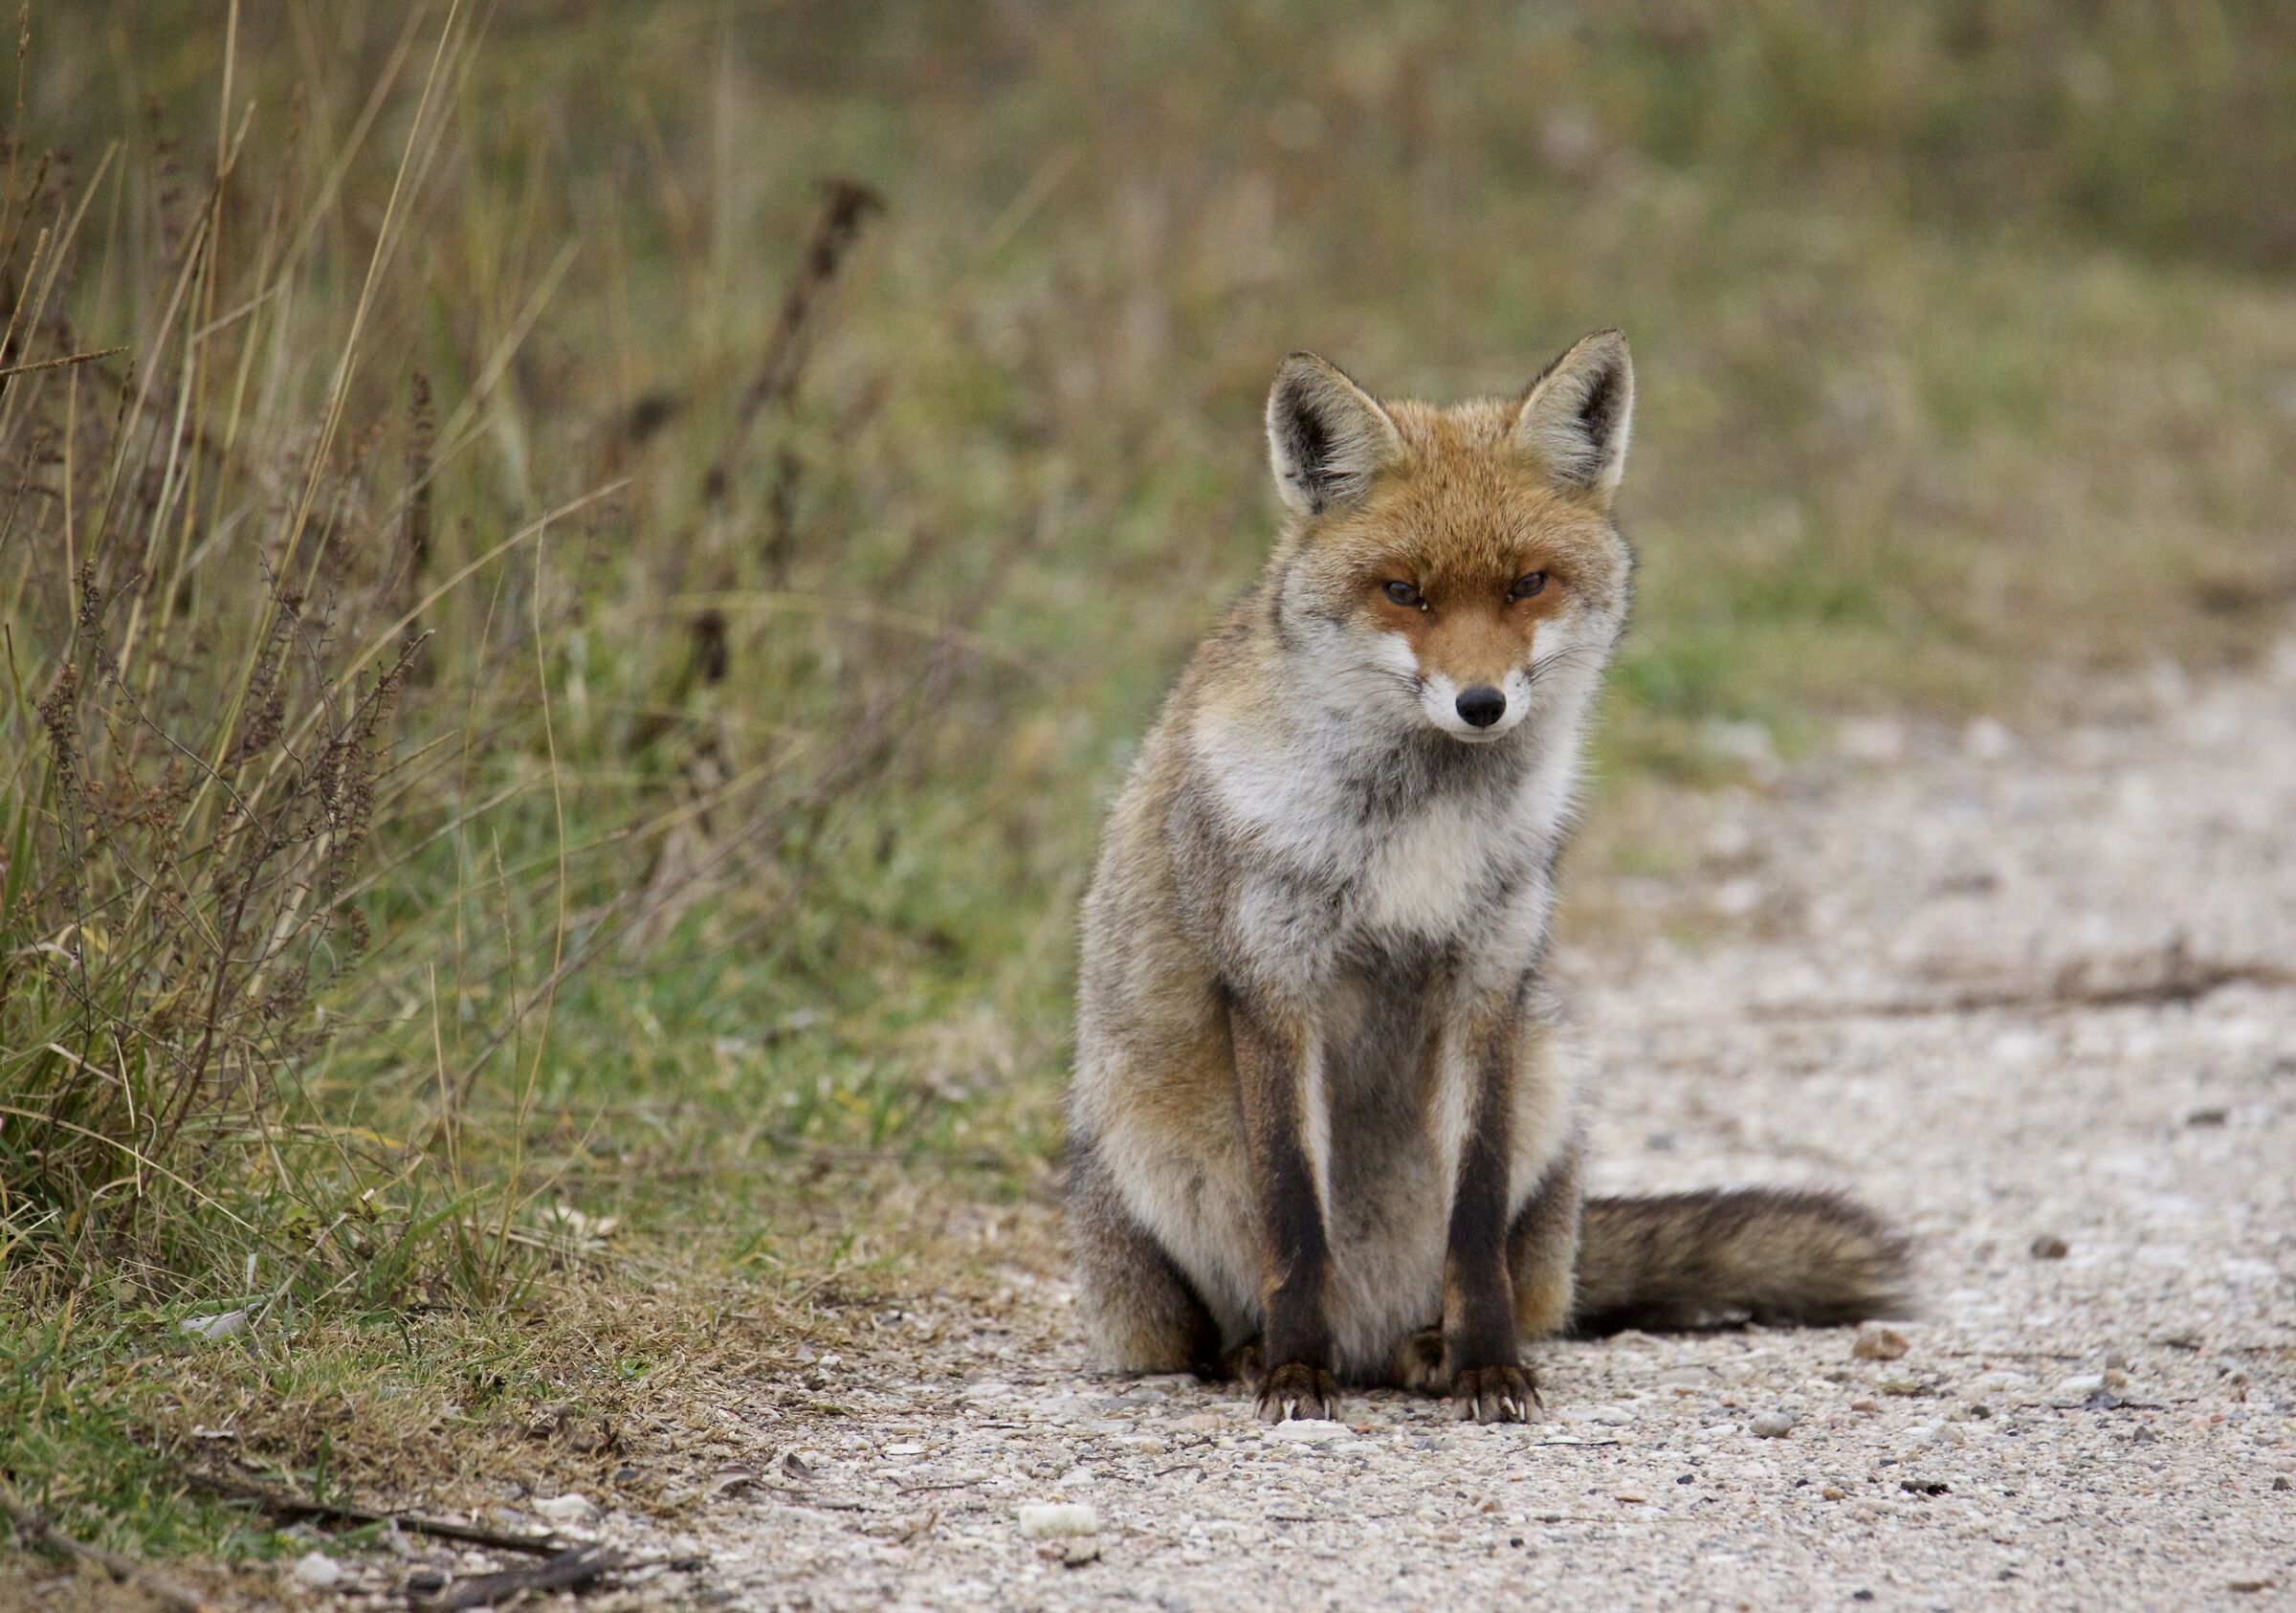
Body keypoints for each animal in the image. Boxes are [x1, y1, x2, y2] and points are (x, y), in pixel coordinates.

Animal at [1066, 330, 1908, 1424]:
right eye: (1404, 592)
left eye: (1526, 584)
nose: (1480, 703)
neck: (1420, 829)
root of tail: (1370, 1339)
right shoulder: (1275, 987)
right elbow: (1294, 1221)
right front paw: (1295, 1371)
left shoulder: (1487, 984)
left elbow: (1472, 1224)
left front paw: (1488, 1366)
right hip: (1146, 1174)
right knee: (1205, 1332)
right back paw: (1260, 1352)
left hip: (1551, 1091)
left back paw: (1427, 1348)